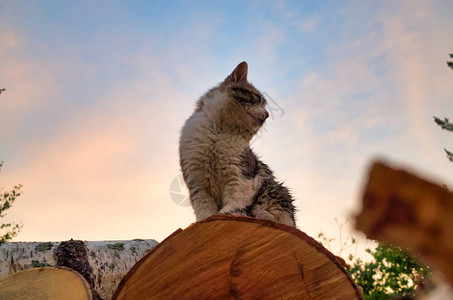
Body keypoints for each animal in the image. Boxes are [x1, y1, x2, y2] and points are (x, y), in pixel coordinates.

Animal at [178, 61, 294, 227]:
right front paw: (204, 221)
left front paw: (226, 214)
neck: (219, 133)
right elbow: (204, 211)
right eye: (258, 98)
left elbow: (235, 203)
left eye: (265, 105)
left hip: (274, 190)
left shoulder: (240, 176)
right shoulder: (197, 182)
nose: (267, 114)